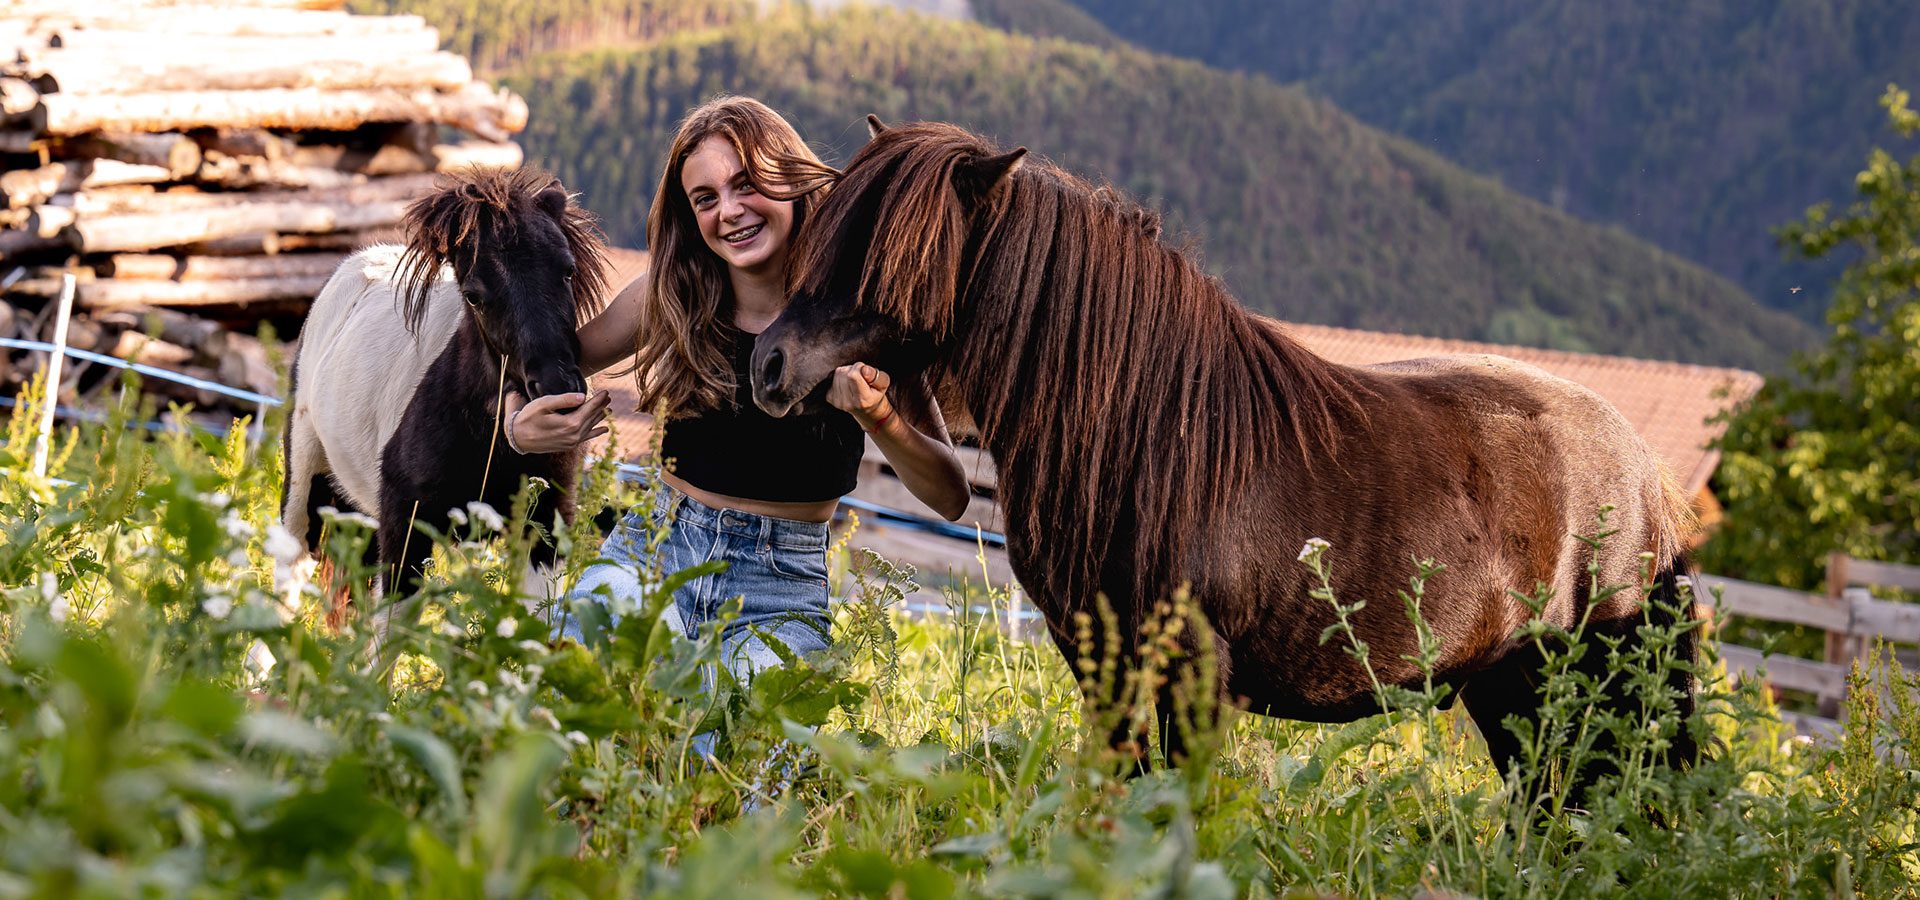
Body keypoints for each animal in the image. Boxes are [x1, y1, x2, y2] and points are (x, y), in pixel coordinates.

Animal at [278, 165, 602, 606]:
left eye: (567, 270)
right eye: (474, 296)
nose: (557, 388)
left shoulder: (545, 528)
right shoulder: (405, 524)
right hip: (303, 485)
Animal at [756, 117, 1704, 794]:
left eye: (891, 262)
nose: (770, 364)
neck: (1148, 433)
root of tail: (1646, 478)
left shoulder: (1194, 671)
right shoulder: (1105, 663)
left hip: (1587, 679)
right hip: (1512, 687)